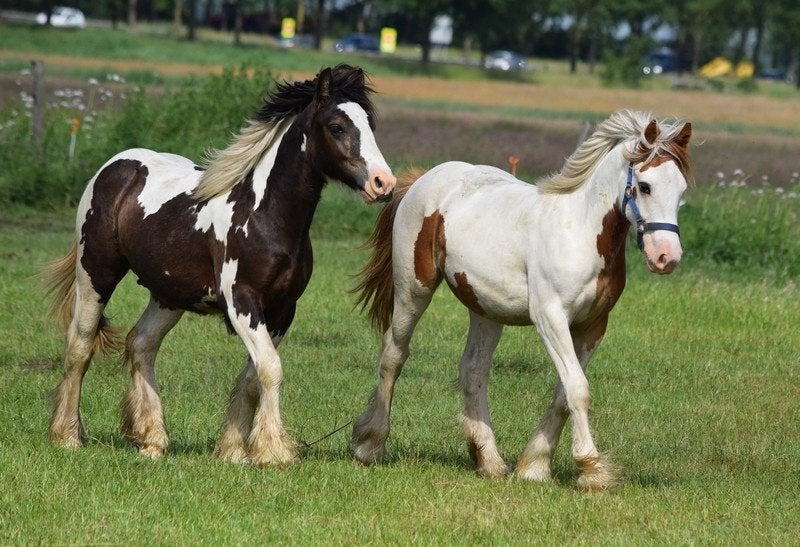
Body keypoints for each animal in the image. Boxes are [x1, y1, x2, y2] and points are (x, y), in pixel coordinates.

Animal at [42, 64, 396, 466]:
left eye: (369, 124)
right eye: (337, 126)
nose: (383, 183)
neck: (264, 215)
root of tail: (114, 166)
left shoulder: (282, 310)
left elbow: (253, 377)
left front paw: (233, 450)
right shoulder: (242, 303)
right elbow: (271, 370)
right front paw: (273, 451)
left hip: (168, 295)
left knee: (141, 344)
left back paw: (151, 439)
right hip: (96, 274)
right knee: (80, 346)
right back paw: (68, 436)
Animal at [351, 110, 692, 491]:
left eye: (681, 190)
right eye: (645, 186)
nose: (666, 257)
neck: (581, 232)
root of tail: (426, 178)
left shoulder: (593, 326)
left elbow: (564, 393)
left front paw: (535, 466)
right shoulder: (550, 317)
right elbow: (577, 388)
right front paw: (592, 470)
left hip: (484, 308)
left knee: (473, 370)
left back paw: (488, 460)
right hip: (414, 290)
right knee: (393, 355)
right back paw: (370, 445)